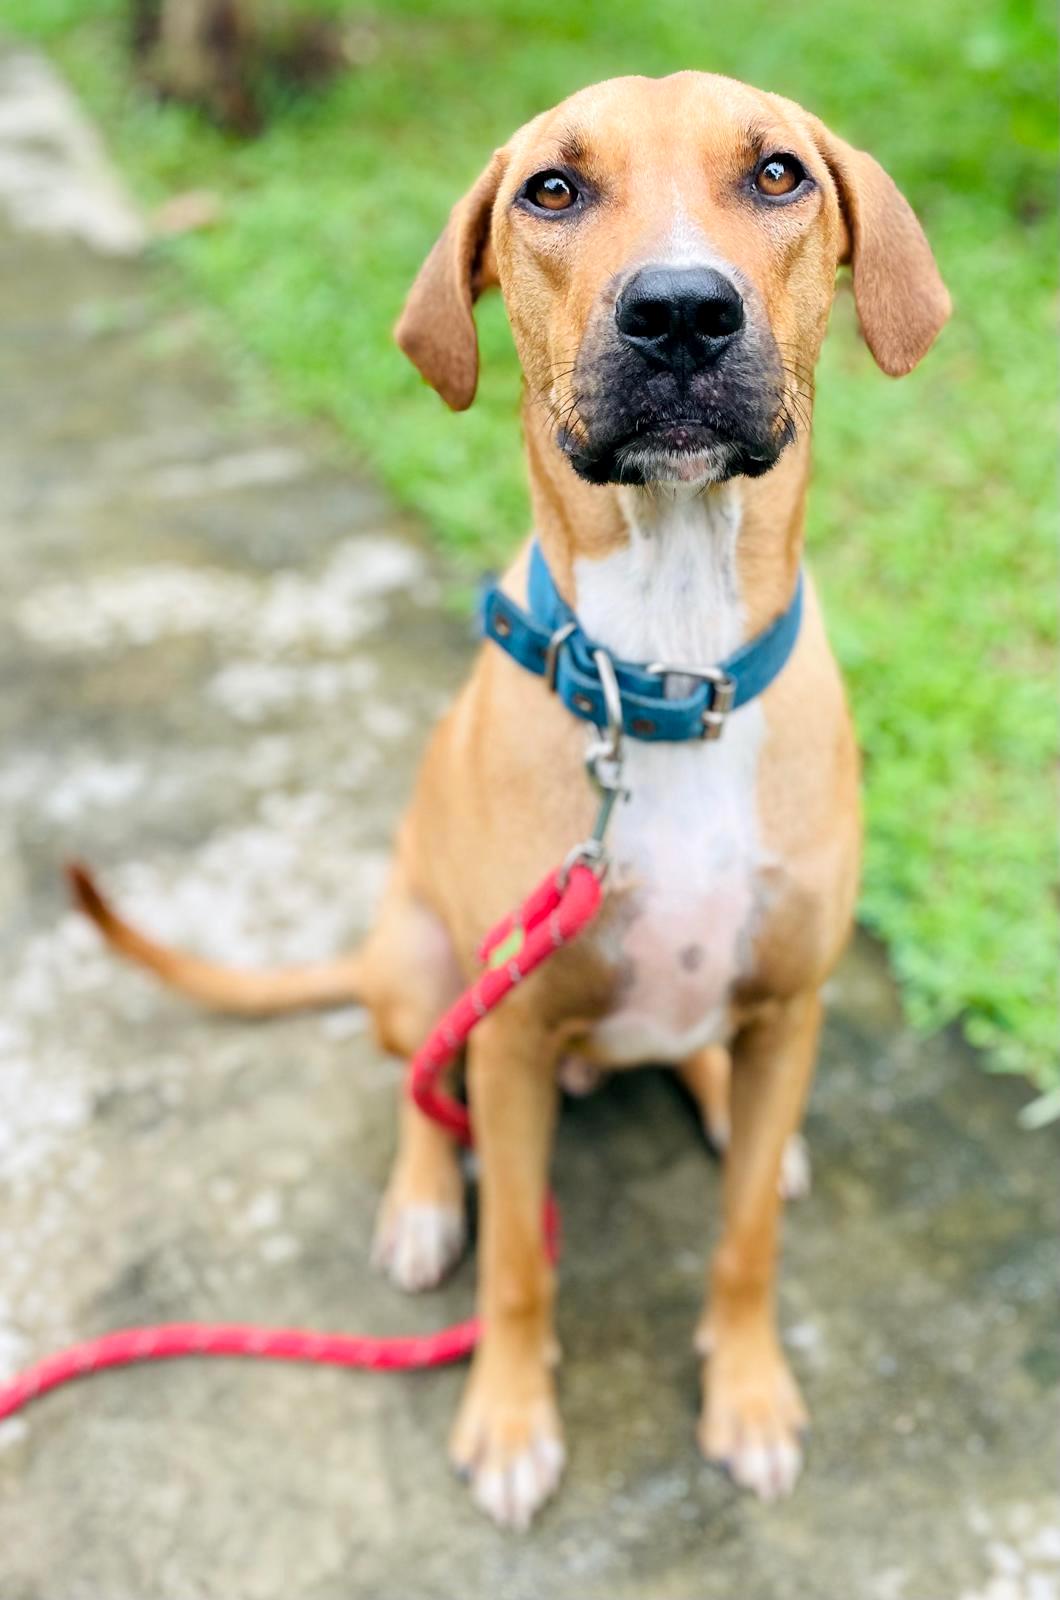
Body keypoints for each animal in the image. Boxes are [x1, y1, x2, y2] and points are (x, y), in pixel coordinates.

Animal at [76, 72, 954, 1523]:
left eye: (777, 173)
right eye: (553, 188)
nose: (679, 311)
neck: (665, 669)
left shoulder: (792, 1007)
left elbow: (748, 1236)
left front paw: (748, 1391)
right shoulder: (512, 1035)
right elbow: (518, 1267)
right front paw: (507, 1417)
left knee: (704, 1065)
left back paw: (729, 1106)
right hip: (428, 970)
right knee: (416, 1090)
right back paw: (427, 1201)